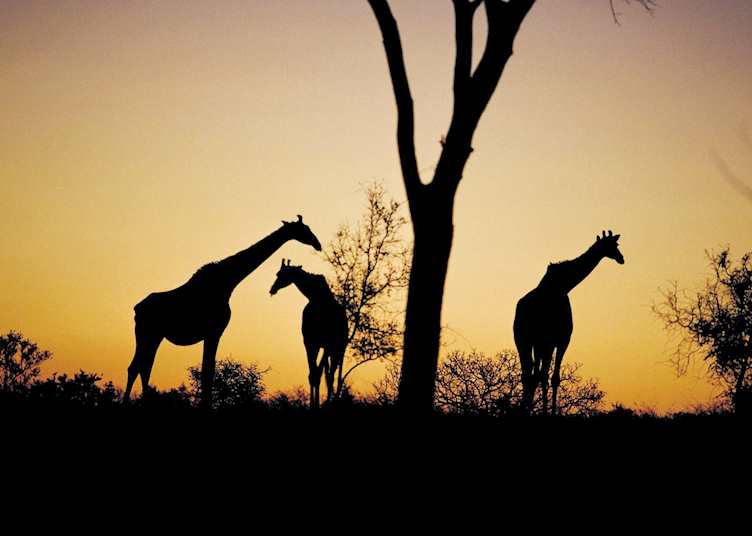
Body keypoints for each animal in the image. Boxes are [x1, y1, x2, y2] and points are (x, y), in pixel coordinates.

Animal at [123, 216, 322, 408]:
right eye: (304, 229)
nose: (318, 244)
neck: (228, 281)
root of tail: (136, 309)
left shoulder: (213, 332)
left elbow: (208, 371)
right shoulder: (214, 331)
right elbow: (207, 372)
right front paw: (206, 407)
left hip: (155, 335)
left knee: (144, 367)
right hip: (147, 333)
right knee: (136, 367)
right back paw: (127, 404)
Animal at [269, 259, 348, 409]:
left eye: (283, 274)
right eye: (277, 273)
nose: (272, 289)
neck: (318, 300)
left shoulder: (326, 344)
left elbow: (318, 374)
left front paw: (317, 405)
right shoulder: (310, 342)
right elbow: (312, 375)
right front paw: (312, 405)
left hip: (339, 349)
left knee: (333, 375)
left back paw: (331, 402)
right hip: (328, 349)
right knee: (328, 374)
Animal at [513, 230, 624, 415]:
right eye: (612, 245)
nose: (621, 258)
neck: (563, 285)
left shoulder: (549, 342)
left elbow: (546, 376)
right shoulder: (562, 339)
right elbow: (551, 377)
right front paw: (549, 412)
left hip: (527, 341)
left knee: (529, 375)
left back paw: (525, 409)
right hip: (534, 341)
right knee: (537, 375)